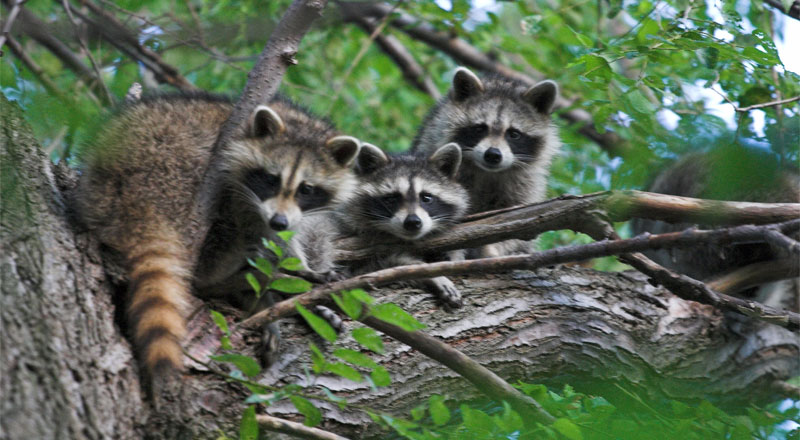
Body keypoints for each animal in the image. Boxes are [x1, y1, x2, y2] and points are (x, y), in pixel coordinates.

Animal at [77, 93, 360, 382]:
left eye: (307, 189)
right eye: (271, 179)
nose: (278, 220)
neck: (298, 121)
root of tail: (134, 193)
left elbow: (285, 238)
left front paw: (302, 277)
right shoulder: (238, 179)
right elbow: (263, 228)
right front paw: (295, 275)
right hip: (178, 166)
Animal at [416, 67, 560, 256]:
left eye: (513, 134)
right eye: (480, 128)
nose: (492, 154)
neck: (487, 172)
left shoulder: (525, 184)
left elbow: (522, 217)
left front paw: (493, 248)